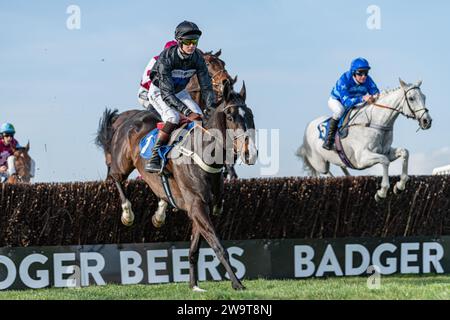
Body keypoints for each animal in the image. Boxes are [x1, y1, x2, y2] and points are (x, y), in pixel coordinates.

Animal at [96, 81, 256, 292]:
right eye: (230, 117)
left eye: (251, 115)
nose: (250, 153)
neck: (203, 154)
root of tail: (126, 116)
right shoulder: (196, 205)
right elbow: (218, 246)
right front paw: (237, 283)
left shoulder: (201, 208)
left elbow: (194, 248)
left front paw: (194, 285)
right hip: (122, 164)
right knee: (114, 176)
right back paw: (127, 213)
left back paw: (159, 215)